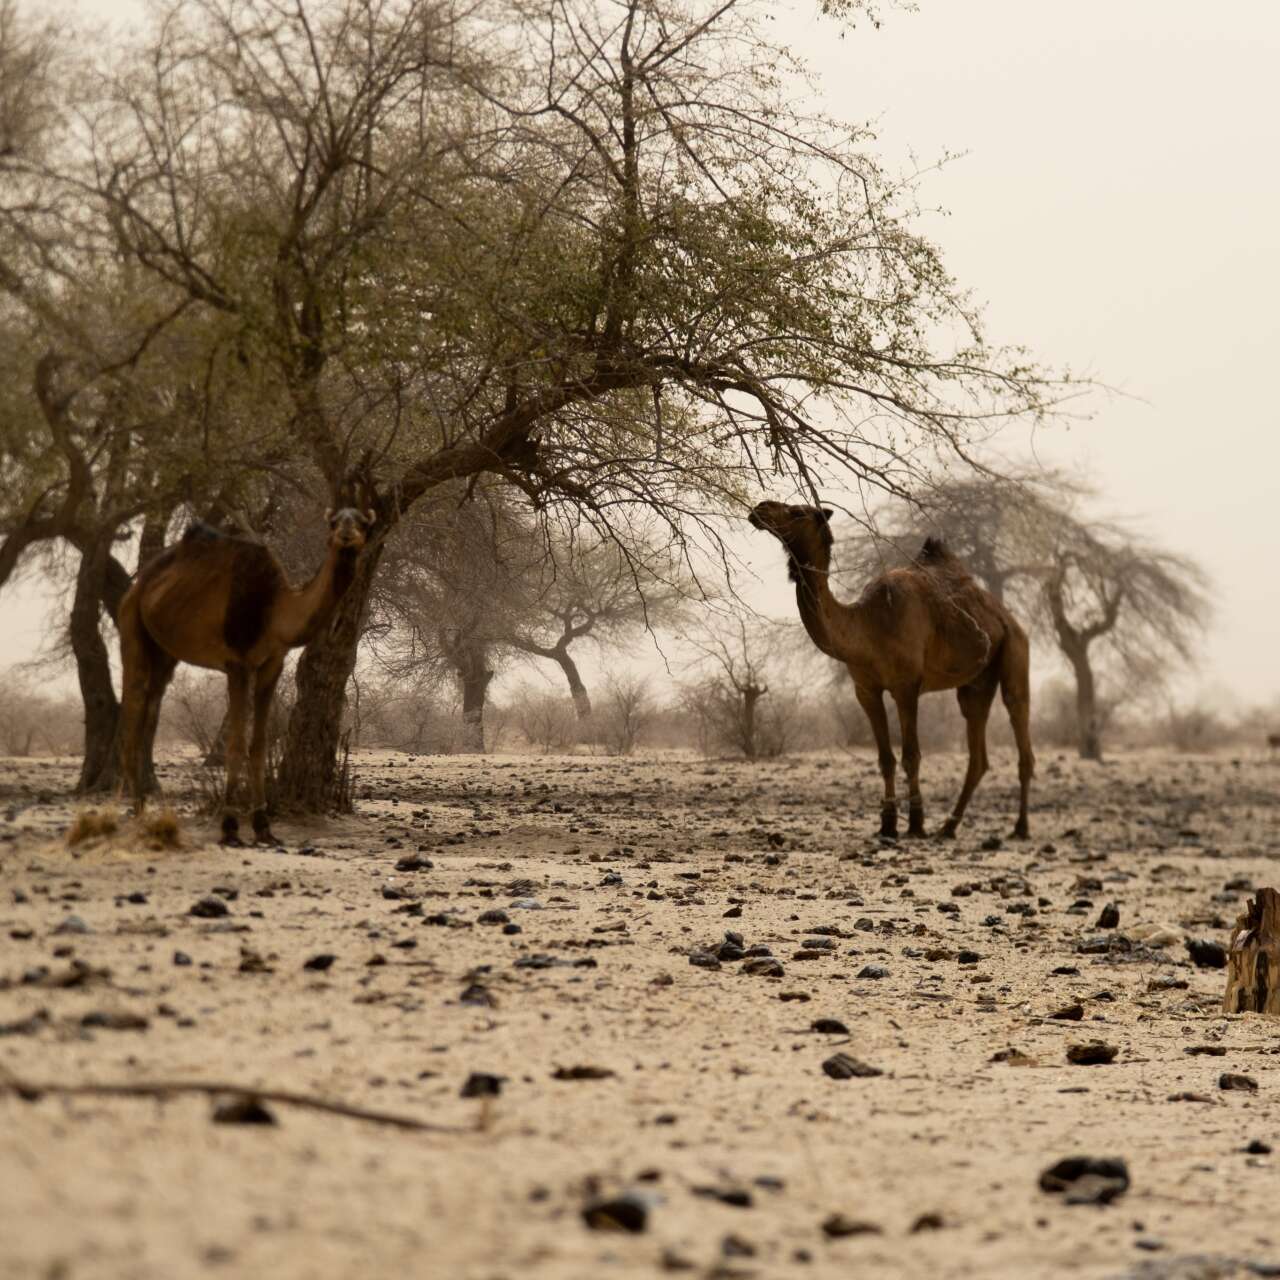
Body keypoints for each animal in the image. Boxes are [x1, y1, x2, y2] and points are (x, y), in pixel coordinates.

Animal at [118, 504, 373, 844]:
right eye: (333, 522)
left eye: (363, 523)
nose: (346, 534)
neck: (273, 609)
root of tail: (139, 585)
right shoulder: (237, 664)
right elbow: (236, 744)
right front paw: (229, 826)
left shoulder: (272, 664)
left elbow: (259, 744)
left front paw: (264, 826)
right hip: (131, 625)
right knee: (133, 704)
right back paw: (137, 812)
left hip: (165, 652)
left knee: (151, 707)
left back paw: (145, 806)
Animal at [747, 499, 1029, 839]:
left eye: (798, 512)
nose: (759, 508)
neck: (867, 624)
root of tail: (1007, 618)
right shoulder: (866, 689)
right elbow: (885, 759)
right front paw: (888, 823)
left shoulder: (906, 686)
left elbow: (911, 756)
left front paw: (916, 823)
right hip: (976, 684)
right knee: (978, 755)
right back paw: (949, 826)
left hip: (1015, 651)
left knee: (1019, 724)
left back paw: (1020, 827)